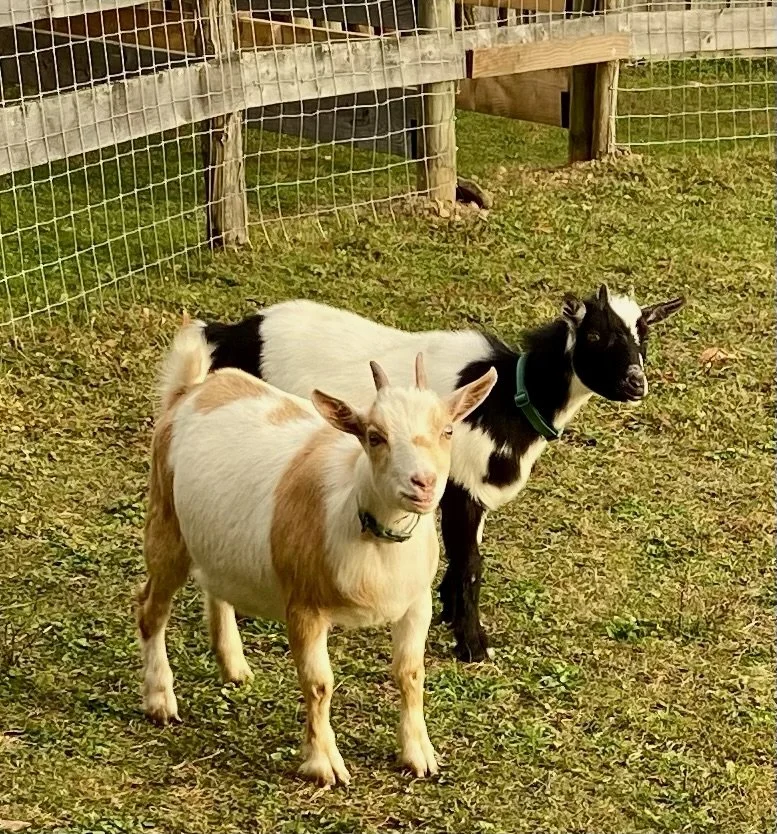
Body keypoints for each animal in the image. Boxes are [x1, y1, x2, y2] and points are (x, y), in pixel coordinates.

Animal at [136, 323, 497, 785]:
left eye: (447, 430)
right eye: (374, 436)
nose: (423, 482)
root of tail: (191, 391)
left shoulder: (416, 603)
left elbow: (410, 674)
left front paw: (419, 755)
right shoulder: (304, 606)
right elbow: (319, 682)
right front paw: (324, 764)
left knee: (215, 585)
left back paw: (233, 666)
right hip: (166, 524)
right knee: (151, 609)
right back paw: (160, 701)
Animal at [199, 284, 685, 662]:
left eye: (643, 335)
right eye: (596, 333)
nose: (636, 384)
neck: (509, 398)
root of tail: (230, 333)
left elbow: (466, 557)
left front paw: (452, 616)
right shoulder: (460, 486)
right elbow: (470, 562)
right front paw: (473, 645)